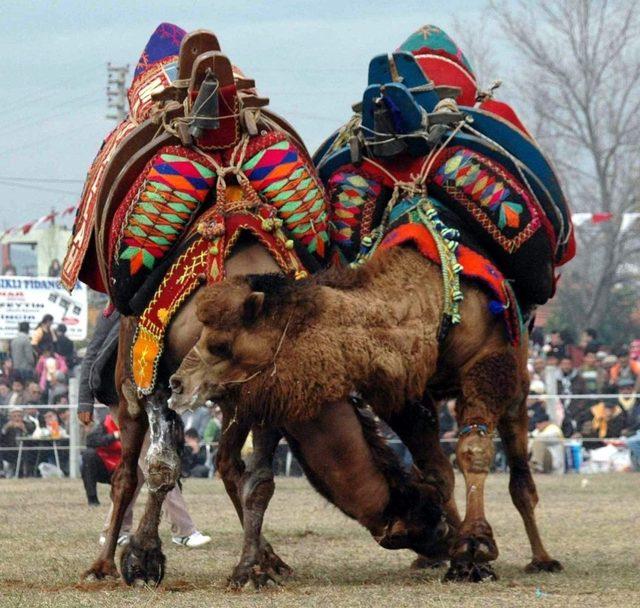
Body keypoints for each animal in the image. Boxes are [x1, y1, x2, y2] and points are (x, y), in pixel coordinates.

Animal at [169, 245, 560, 580]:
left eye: (220, 345)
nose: (176, 383)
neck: (424, 305)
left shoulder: (487, 366)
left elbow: (472, 452)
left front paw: (475, 544)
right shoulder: (402, 393)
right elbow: (437, 471)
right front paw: (455, 548)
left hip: (516, 383)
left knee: (519, 472)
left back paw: (542, 559)